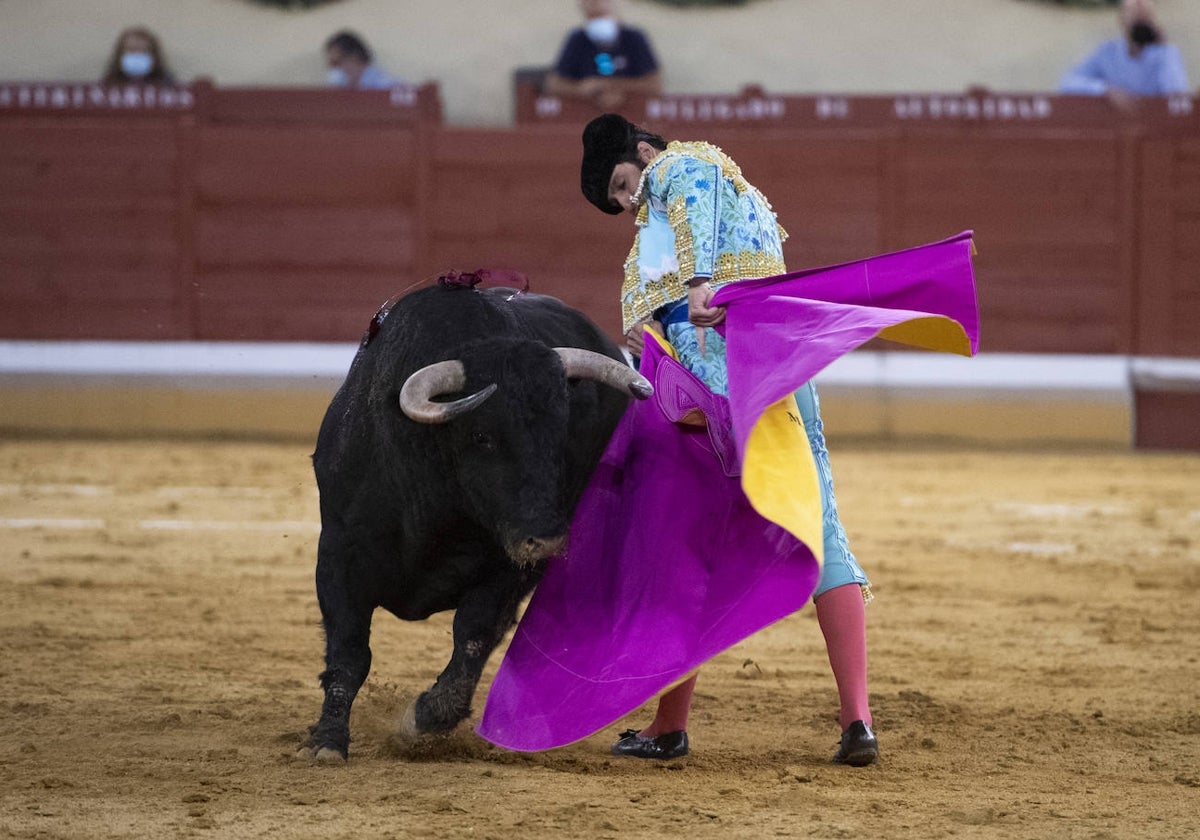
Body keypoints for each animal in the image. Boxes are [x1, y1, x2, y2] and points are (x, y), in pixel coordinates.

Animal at [304, 282, 652, 763]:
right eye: (481, 435)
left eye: (559, 433)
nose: (546, 538)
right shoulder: (338, 554)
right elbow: (349, 648)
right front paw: (329, 741)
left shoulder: (509, 569)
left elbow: (474, 634)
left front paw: (423, 719)